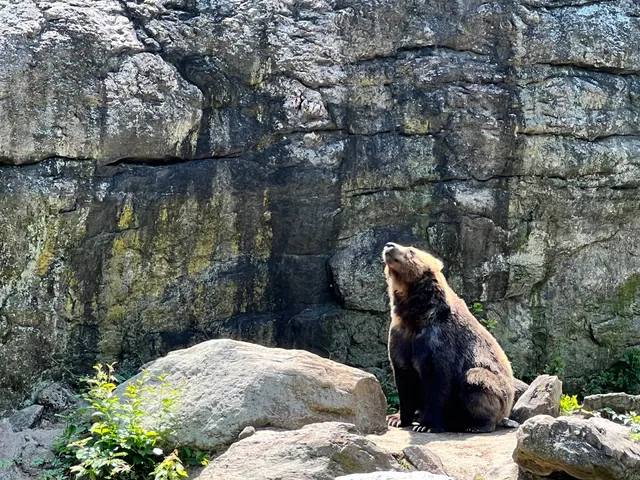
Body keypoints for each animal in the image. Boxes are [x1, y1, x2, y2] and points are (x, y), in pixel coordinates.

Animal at [382, 242, 515, 433]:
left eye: (411, 250)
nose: (389, 245)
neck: (416, 315)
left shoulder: (438, 339)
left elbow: (437, 380)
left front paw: (426, 425)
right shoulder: (401, 335)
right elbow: (404, 377)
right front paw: (396, 418)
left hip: (498, 391)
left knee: (475, 380)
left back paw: (476, 425)